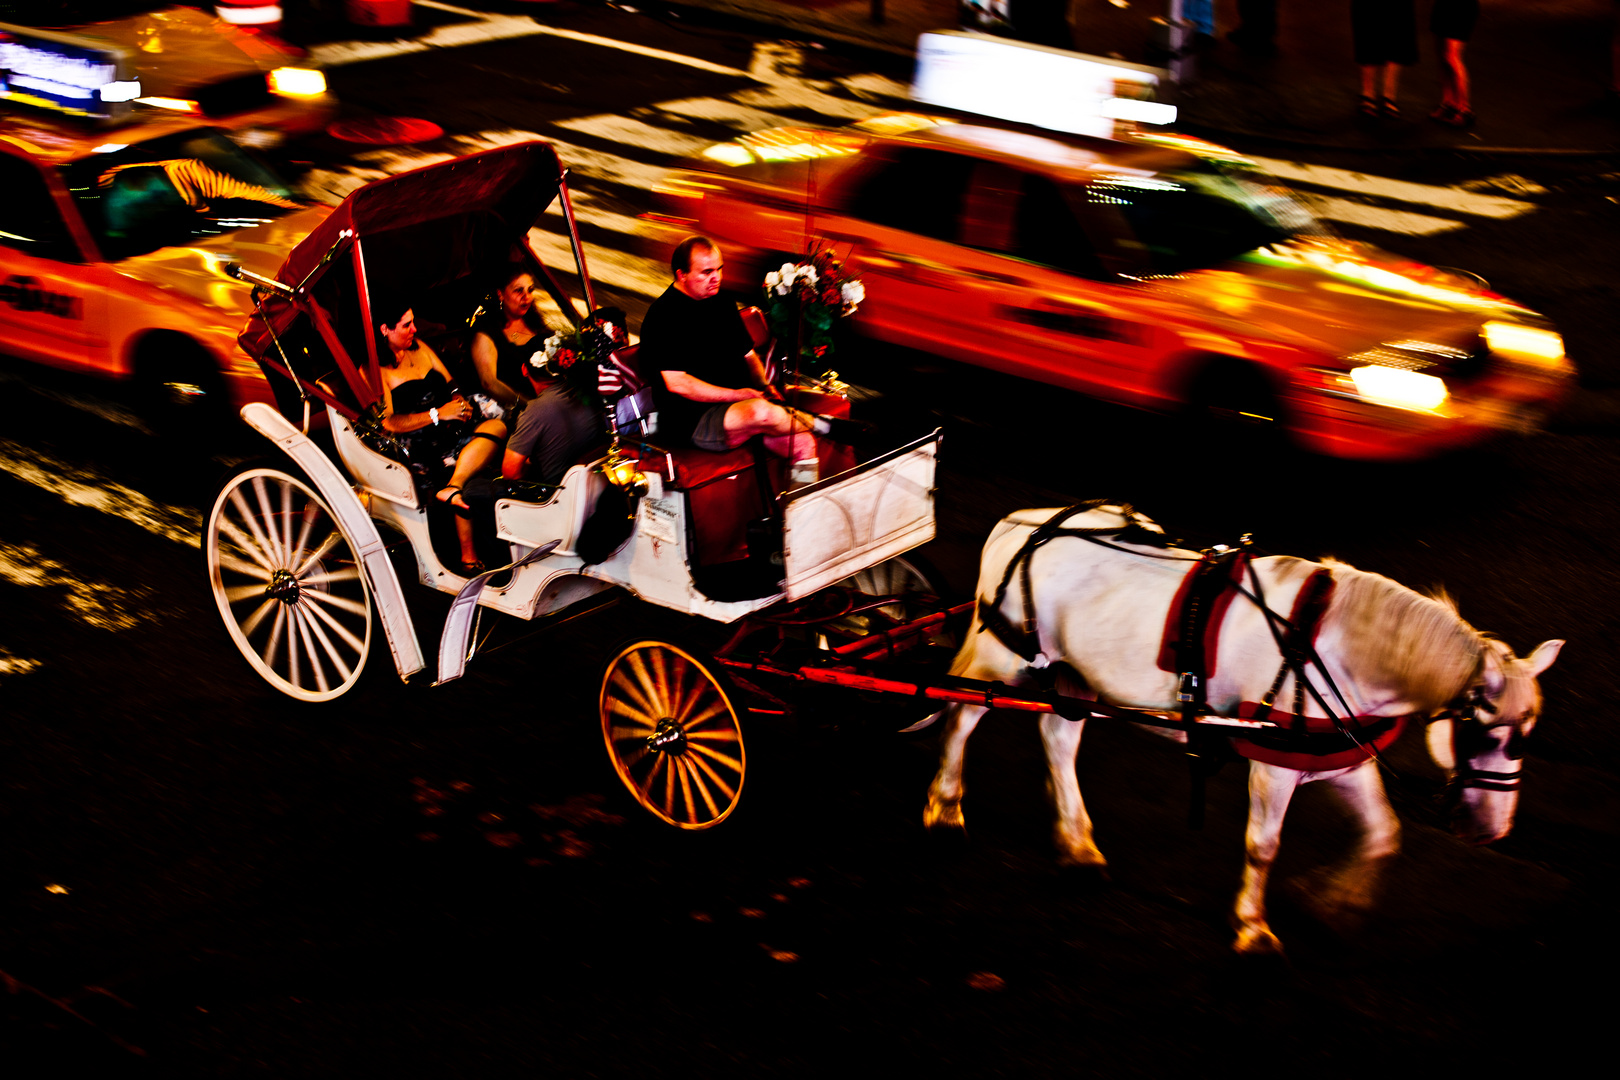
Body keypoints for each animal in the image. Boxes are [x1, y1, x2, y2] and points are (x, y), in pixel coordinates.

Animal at [933, 508, 1561, 952]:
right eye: (1487, 733)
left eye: (1526, 736)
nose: (1493, 830)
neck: (1336, 647)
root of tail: (1022, 525)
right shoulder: (1274, 764)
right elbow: (1263, 846)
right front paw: (1254, 928)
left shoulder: (1341, 756)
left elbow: (1383, 833)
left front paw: (1333, 903)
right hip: (1002, 656)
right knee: (964, 718)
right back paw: (945, 808)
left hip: (1075, 674)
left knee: (1061, 741)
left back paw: (1078, 847)